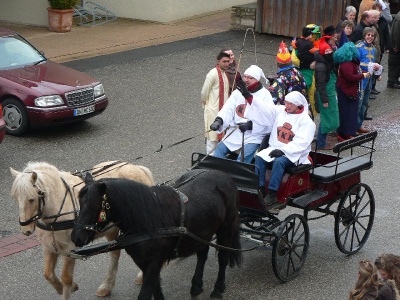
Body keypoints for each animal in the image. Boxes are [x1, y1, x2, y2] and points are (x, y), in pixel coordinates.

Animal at [10, 162, 153, 300]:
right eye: (16, 198)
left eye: (31, 199)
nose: (25, 230)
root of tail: (139, 169)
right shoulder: (49, 247)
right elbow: (48, 274)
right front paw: (63, 288)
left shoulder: (69, 249)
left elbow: (66, 278)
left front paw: (68, 288)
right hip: (112, 229)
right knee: (115, 254)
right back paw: (106, 286)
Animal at [70, 170, 242, 298]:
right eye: (79, 203)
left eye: (94, 206)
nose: (76, 237)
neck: (146, 220)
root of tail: (224, 176)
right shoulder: (145, 263)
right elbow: (156, 290)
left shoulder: (154, 262)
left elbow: (146, 293)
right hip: (202, 232)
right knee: (202, 253)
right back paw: (196, 286)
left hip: (226, 228)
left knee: (223, 257)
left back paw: (217, 289)